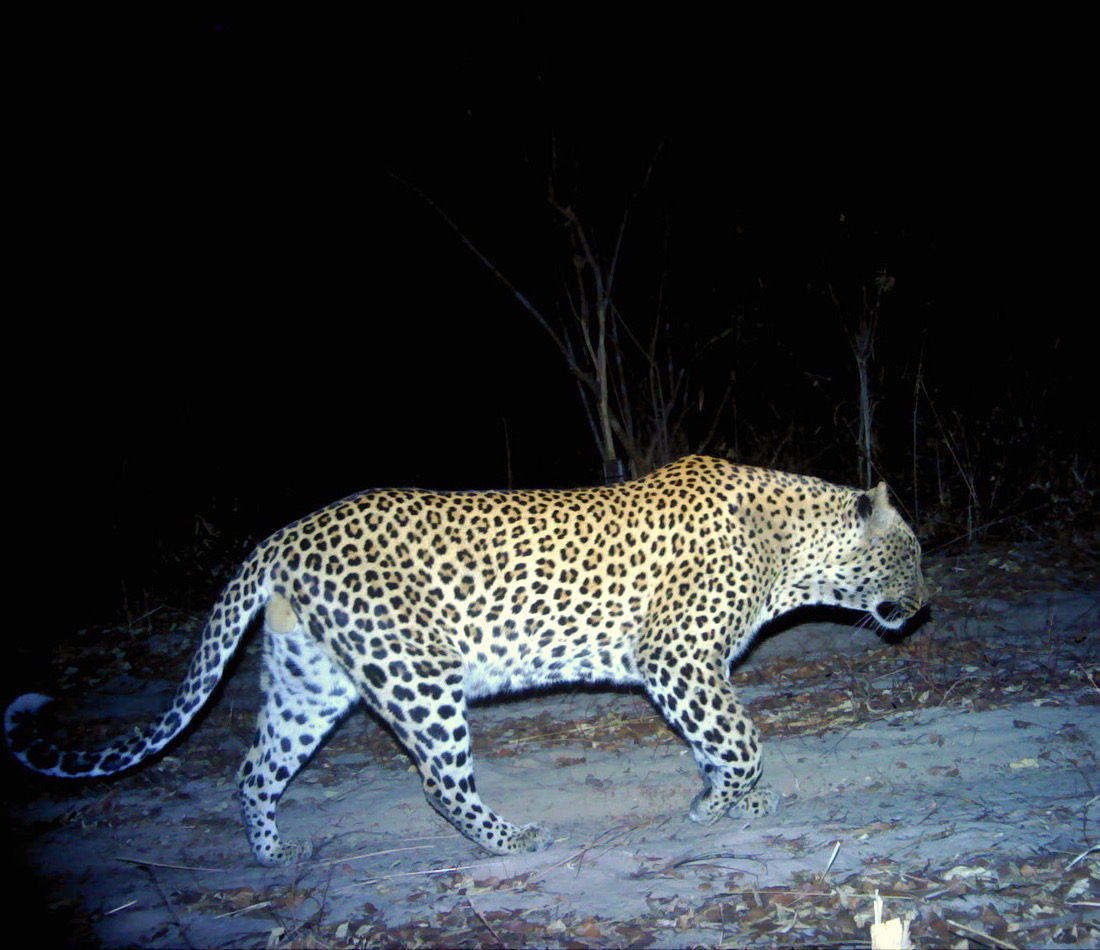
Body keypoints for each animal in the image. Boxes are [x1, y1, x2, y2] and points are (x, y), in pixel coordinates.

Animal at [5, 455, 927, 865]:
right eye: (912, 556)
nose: (922, 607)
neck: (792, 552)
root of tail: (284, 535)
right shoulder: (675, 658)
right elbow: (739, 738)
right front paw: (720, 807)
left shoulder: (692, 671)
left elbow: (723, 740)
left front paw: (741, 803)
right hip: (418, 676)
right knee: (438, 781)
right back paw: (512, 839)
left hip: (311, 680)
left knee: (254, 768)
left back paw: (272, 855)